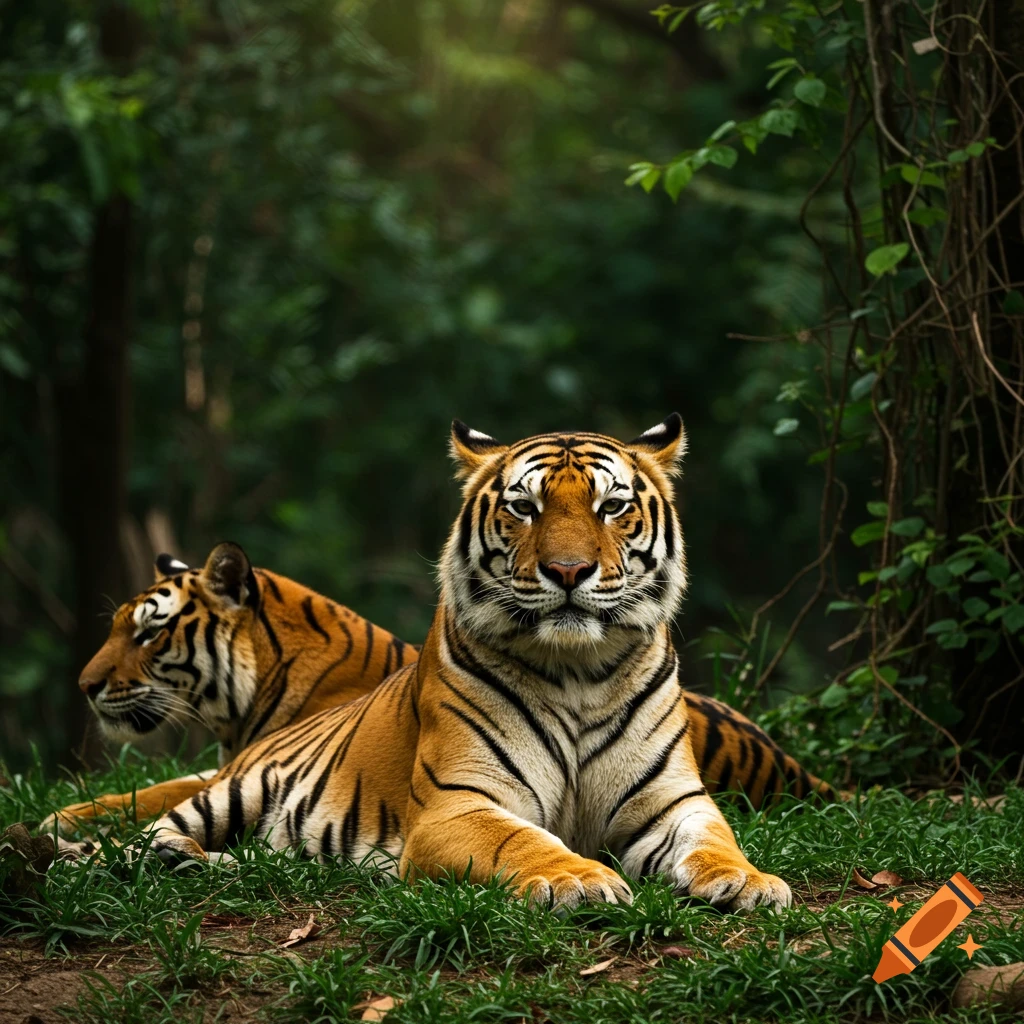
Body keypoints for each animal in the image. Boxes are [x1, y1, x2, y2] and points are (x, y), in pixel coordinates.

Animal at [45, 543, 417, 833]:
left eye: (149, 633)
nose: (85, 686)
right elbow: (162, 785)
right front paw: (66, 813)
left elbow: (159, 795)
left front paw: (63, 819)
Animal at [133, 416, 803, 911]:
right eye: (525, 508)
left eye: (611, 506)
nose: (567, 570)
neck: (580, 671)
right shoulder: (458, 803)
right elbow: (522, 841)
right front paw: (579, 879)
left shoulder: (675, 802)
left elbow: (715, 841)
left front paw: (749, 882)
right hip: (235, 790)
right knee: (145, 835)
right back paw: (180, 857)